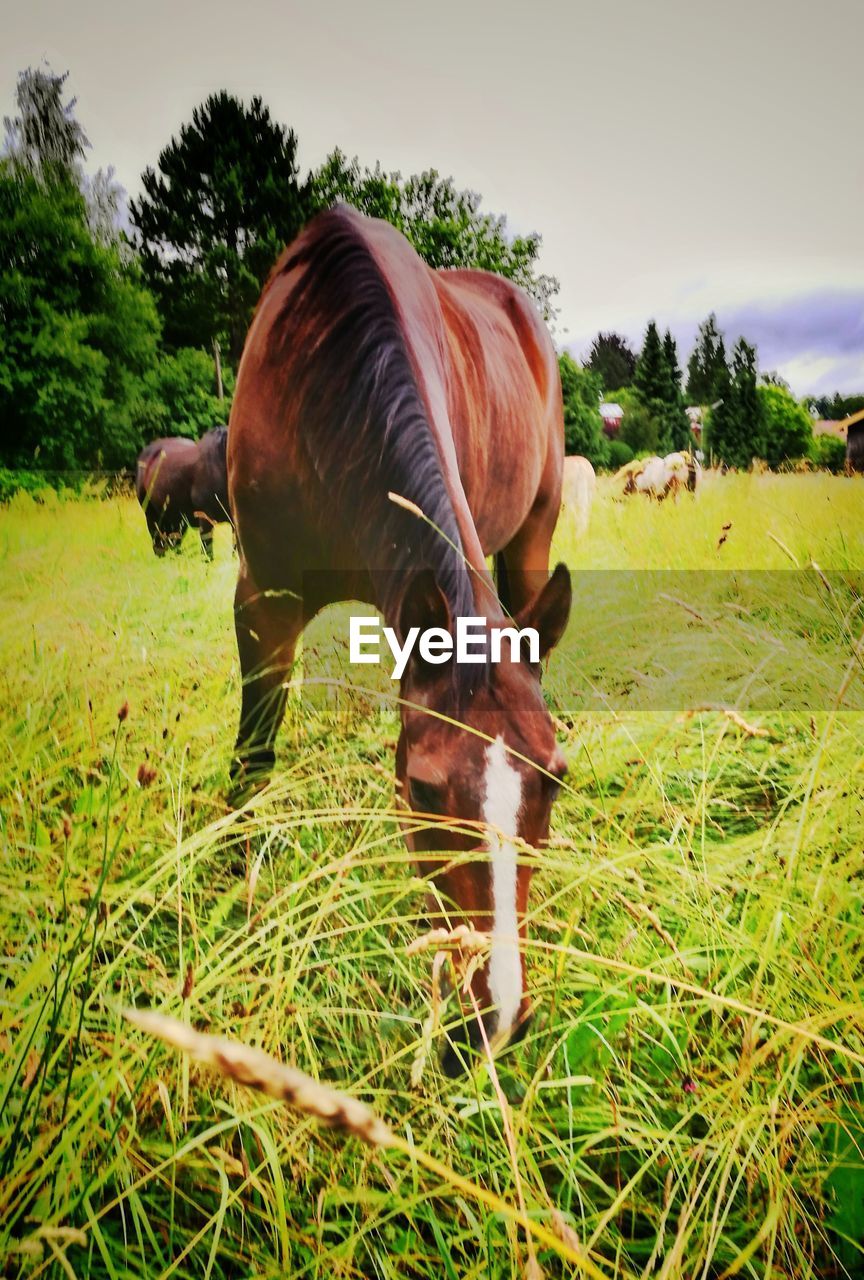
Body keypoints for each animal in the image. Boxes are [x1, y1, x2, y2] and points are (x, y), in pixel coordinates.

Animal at [136, 427, 231, 558]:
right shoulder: (205, 520)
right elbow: (207, 554)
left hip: (176, 521)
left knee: (174, 545)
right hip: (152, 516)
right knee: (159, 546)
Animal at [227, 207, 573, 1070]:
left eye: (555, 780)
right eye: (422, 790)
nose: (497, 1018)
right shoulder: (263, 601)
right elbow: (252, 759)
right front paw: (232, 893)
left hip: (531, 538)